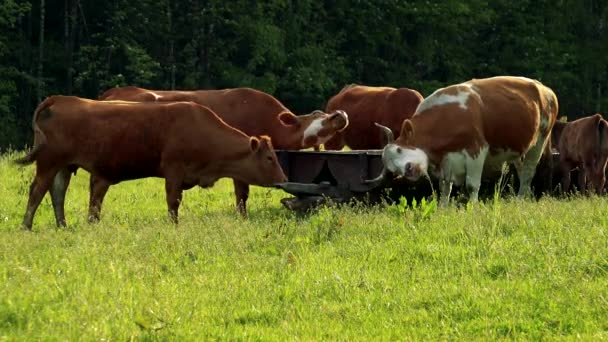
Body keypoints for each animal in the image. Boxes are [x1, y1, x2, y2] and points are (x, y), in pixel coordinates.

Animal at [16, 96, 288, 230]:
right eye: (269, 157)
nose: (284, 179)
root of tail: (61, 99)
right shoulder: (174, 171)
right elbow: (173, 201)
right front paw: (174, 226)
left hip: (63, 166)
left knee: (57, 193)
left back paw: (62, 225)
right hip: (49, 162)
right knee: (37, 191)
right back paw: (26, 226)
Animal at [376, 76, 560, 206]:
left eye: (399, 149)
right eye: (391, 168)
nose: (408, 169)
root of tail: (544, 89)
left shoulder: (476, 149)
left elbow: (472, 185)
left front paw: (473, 207)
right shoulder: (446, 161)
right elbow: (445, 187)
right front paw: (442, 208)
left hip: (540, 140)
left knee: (529, 170)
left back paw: (521, 199)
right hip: (518, 148)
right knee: (523, 172)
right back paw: (524, 197)